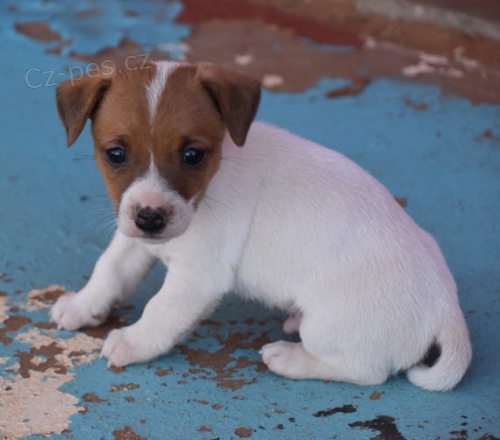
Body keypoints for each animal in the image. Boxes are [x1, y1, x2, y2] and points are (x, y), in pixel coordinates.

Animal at [51, 60, 472, 390]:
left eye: (193, 155)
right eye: (115, 154)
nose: (151, 218)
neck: (214, 178)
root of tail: (447, 310)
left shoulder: (197, 277)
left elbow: (160, 311)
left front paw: (133, 342)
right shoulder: (134, 236)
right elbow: (109, 270)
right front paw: (83, 305)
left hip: (331, 325)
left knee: (366, 372)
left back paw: (290, 358)